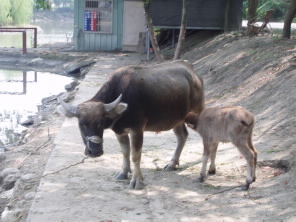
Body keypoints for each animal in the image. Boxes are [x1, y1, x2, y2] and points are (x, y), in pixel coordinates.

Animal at [59, 60, 205, 189]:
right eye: (81, 124)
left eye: (100, 123)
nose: (95, 152)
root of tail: (194, 73)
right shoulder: (120, 131)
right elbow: (125, 152)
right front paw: (123, 173)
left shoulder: (137, 129)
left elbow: (135, 155)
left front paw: (137, 181)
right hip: (177, 119)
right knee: (182, 136)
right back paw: (172, 164)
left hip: (198, 114)